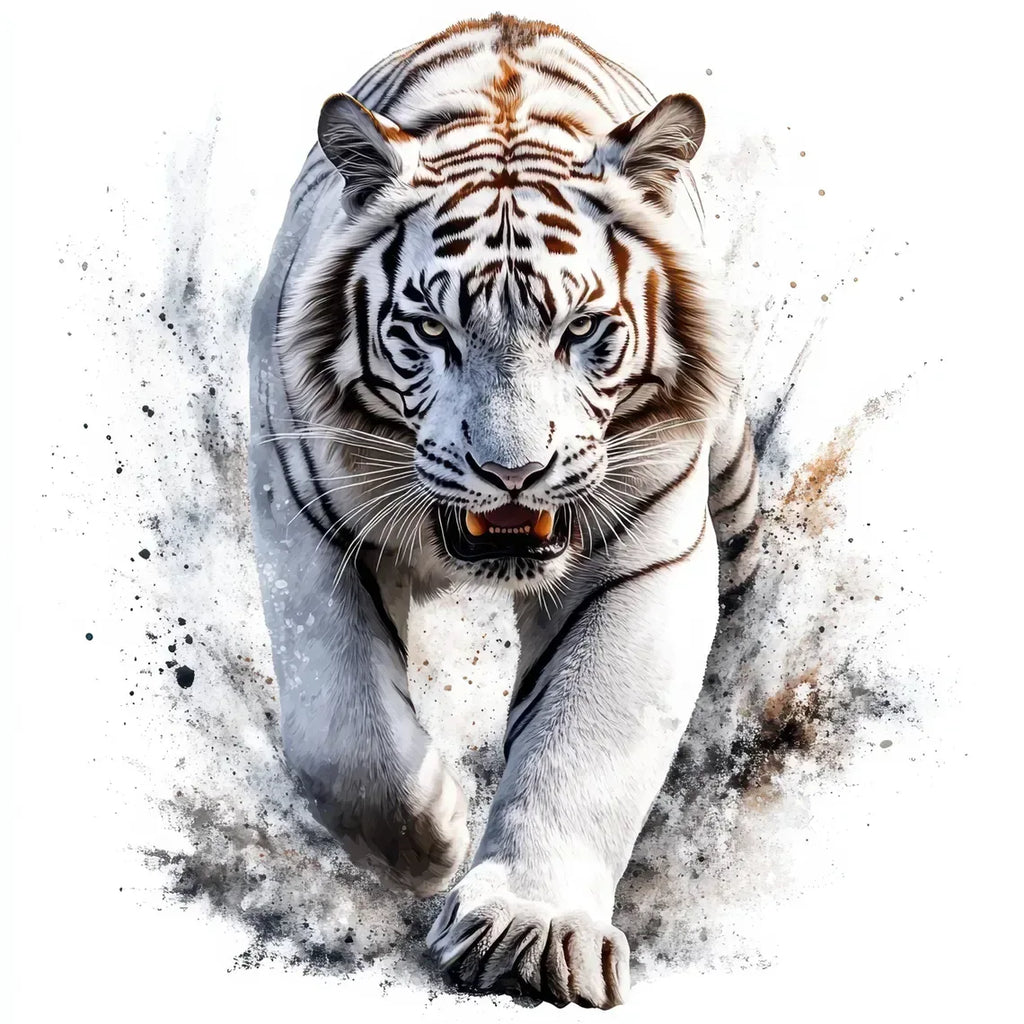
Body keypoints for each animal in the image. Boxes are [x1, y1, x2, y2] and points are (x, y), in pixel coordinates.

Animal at [247, 13, 761, 1009]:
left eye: (582, 331)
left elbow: (585, 739)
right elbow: (343, 738)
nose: (513, 472)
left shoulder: (643, 553)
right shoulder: (304, 511)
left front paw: (531, 933)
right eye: (430, 331)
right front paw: (433, 837)